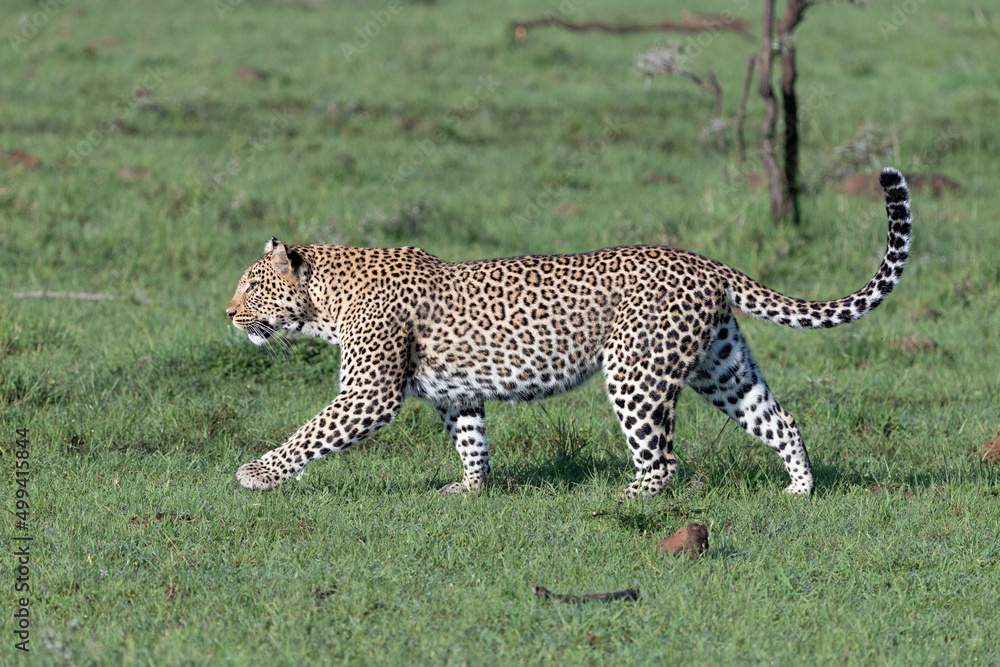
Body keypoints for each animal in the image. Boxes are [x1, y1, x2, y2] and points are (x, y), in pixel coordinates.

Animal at [226, 168, 912, 502]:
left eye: (252, 286)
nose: (229, 315)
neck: (327, 299)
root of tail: (703, 260)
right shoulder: (457, 391)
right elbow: (471, 440)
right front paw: (470, 490)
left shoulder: (368, 394)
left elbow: (308, 435)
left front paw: (255, 475)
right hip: (721, 364)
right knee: (778, 417)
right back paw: (799, 489)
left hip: (636, 372)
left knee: (663, 459)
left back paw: (624, 498)